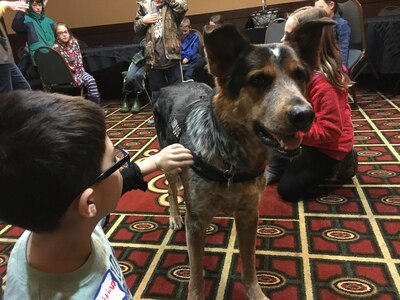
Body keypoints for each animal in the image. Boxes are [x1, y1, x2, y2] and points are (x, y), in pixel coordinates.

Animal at [155, 19, 332, 300]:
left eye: (300, 75)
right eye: (259, 80)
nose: (305, 115)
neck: (232, 159)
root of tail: (171, 84)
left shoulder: (249, 216)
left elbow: (249, 265)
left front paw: (255, 293)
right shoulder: (196, 224)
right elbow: (195, 276)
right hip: (169, 161)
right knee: (172, 189)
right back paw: (174, 215)